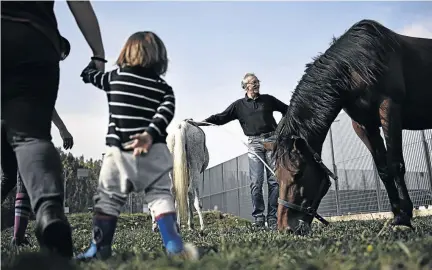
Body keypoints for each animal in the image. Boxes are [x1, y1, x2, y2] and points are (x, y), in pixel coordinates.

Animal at [274, 18, 432, 234]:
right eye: (276, 176)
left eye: (298, 174)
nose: (285, 228)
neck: (356, 67)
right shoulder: (364, 125)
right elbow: (383, 170)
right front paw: (397, 213)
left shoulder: (390, 108)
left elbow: (395, 164)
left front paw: (404, 217)